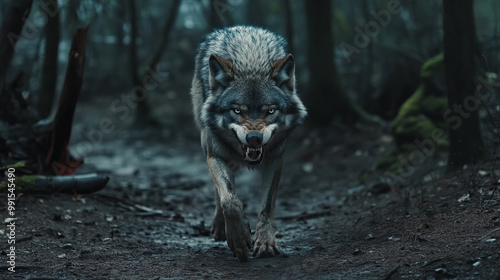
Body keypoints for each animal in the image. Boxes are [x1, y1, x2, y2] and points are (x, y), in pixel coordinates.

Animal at [190, 25, 306, 262]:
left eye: (270, 111)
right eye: (237, 110)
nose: (254, 138)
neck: (251, 63)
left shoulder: (276, 159)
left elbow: (267, 206)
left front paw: (266, 243)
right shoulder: (215, 155)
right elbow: (229, 199)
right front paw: (239, 237)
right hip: (206, 143)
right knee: (220, 191)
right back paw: (219, 226)